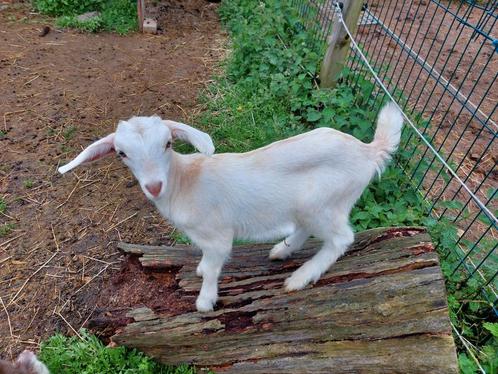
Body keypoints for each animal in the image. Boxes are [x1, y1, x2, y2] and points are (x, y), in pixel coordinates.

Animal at [59, 102, 400, 312]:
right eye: (121, 153)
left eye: (167, 144)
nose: (154, 186)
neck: (184, 181)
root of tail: (369, 152)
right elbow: (204, 262)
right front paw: (199, 272)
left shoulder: (217, 235)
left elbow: (213, 266)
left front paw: (204, 301)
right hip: (310, 207)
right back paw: (282, 250)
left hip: (324, 203)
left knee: (341, 239)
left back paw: (300, 278)